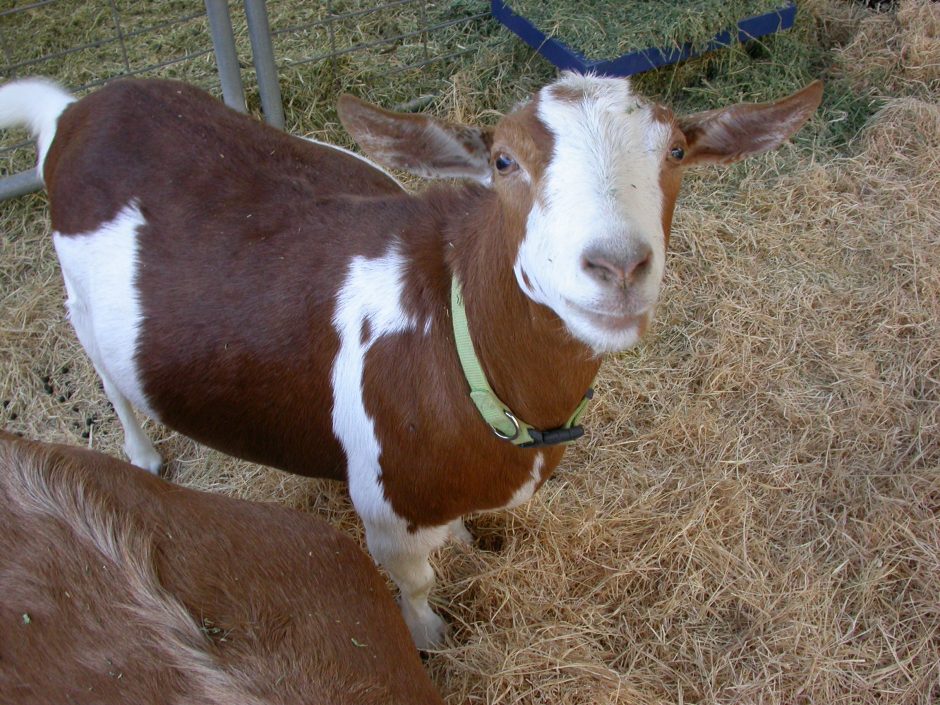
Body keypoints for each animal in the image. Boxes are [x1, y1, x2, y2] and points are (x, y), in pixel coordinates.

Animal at [0, 73, 822, 647]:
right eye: (503, 161)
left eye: (677, 151)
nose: (618, 265)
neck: (456, 339)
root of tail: (75, 110)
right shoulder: (386, 509)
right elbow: (417, 581)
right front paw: (431, 638)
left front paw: (467, 545)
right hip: (80, 302)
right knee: (108, 374)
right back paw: (143, 454)